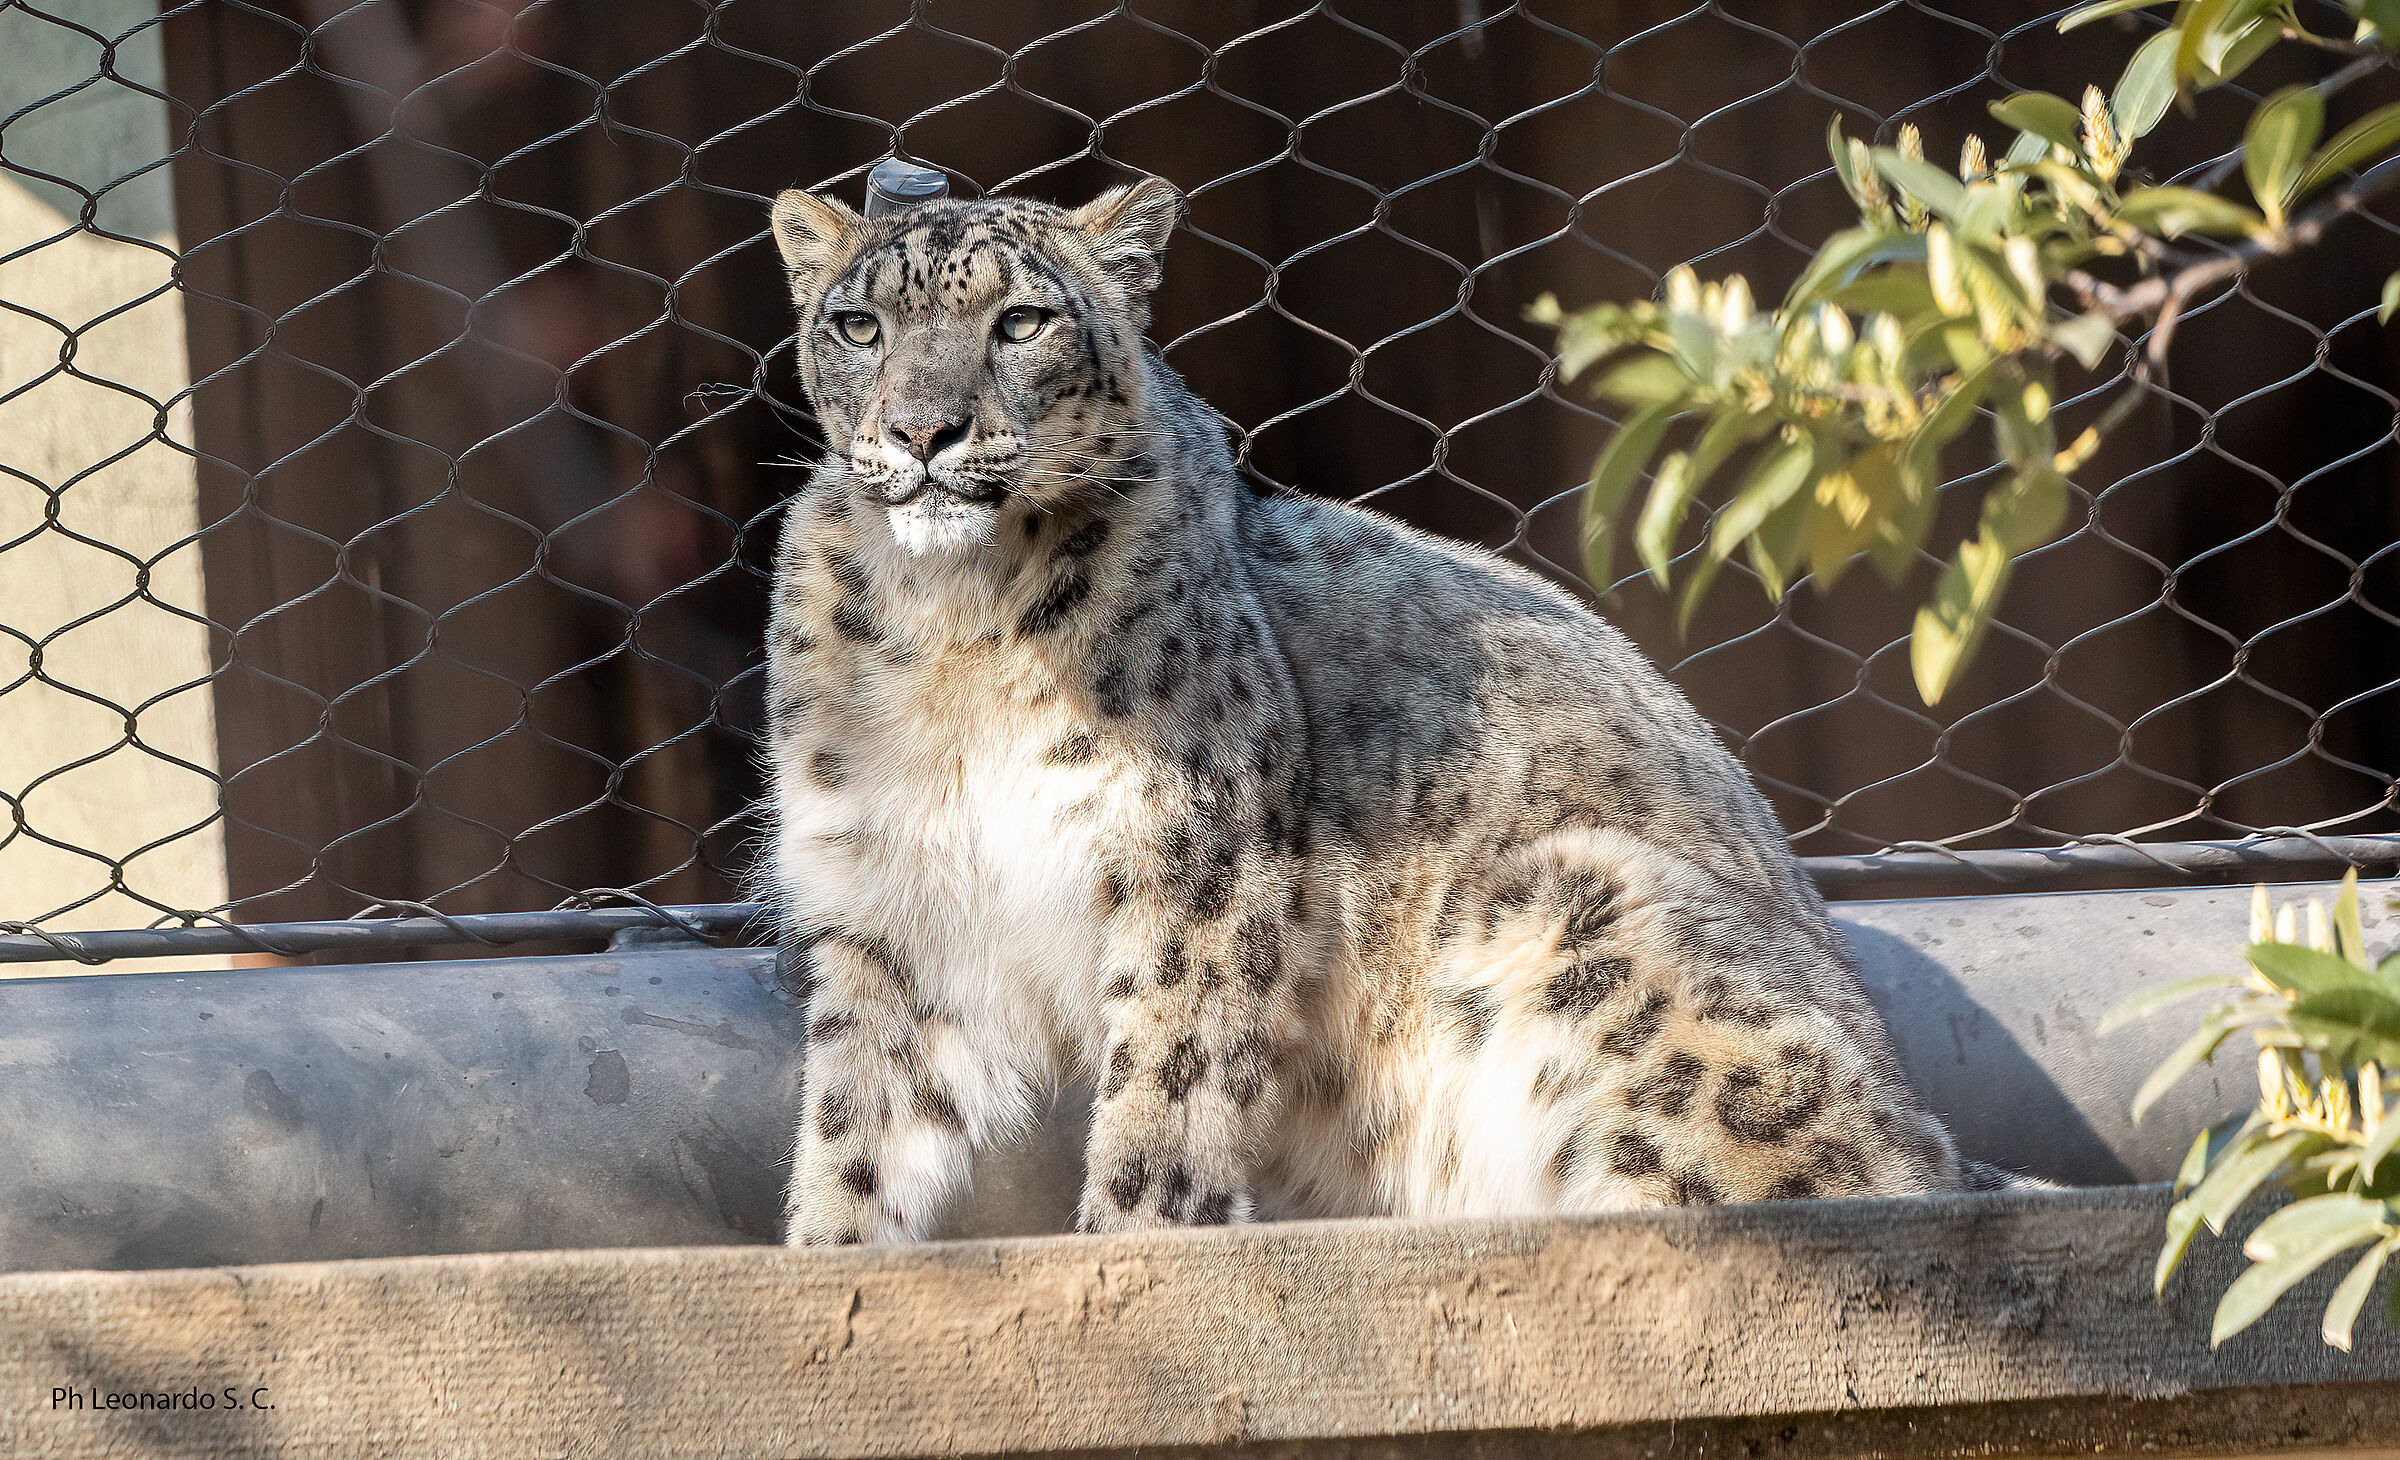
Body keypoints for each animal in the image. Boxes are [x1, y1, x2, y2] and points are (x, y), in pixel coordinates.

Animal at [760, 174, 1990, 1246]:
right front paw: (830, 1250)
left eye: (1020, 320)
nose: (924, 432)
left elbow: (1168, 1096)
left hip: (1593, 907)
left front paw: (1135, 1249)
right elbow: (855, 1126)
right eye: (860, 326)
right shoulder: (890, 904)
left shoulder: (1197, 866)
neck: (955, 628)